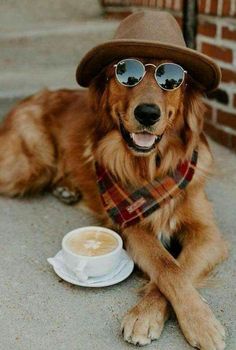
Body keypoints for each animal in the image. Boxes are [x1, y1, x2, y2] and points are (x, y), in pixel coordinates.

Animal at [0, 55, 229, 350]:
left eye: (171, 80)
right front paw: (170, 319)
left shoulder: (208, 234)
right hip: (30, 166)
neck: (153, 167)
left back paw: (66, 189)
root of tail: (34, 95)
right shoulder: (132, 225)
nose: (147, 113)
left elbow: (180, 268)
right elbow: (167, 267)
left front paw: (192, 320)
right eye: (125, 73)